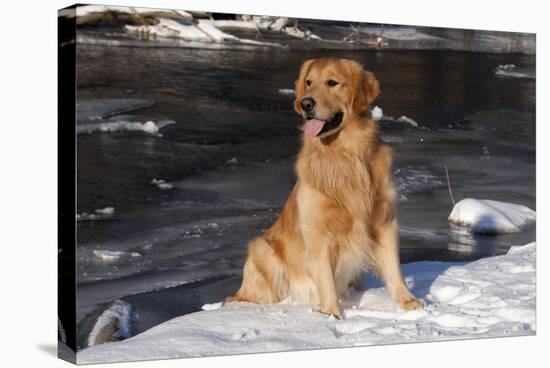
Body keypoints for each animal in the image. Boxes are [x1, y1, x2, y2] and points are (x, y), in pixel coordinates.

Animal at [226, 58, 424, 320]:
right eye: (309, 82)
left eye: (332, 82)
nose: (305, 103)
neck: (344, 155)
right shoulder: (317, 232)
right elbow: (326, 278)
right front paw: (330, 314)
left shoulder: (384, 221)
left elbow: (394, 266)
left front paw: (407, 301)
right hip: (262, 250)